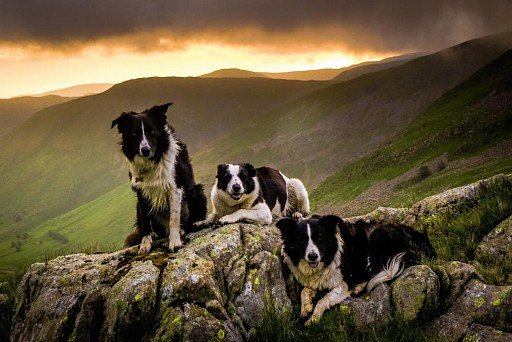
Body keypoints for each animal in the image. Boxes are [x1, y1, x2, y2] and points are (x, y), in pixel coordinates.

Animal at [276, 215, 436, 324]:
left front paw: (313, 318)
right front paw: (305, 308)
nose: (313, 256)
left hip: (376, 237)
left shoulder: (346, 280)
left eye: (319, 237)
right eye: (300, 240)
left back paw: (359, 287)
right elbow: (305, 290)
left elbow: (324, 299)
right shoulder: (316, 279)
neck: (330, 255)